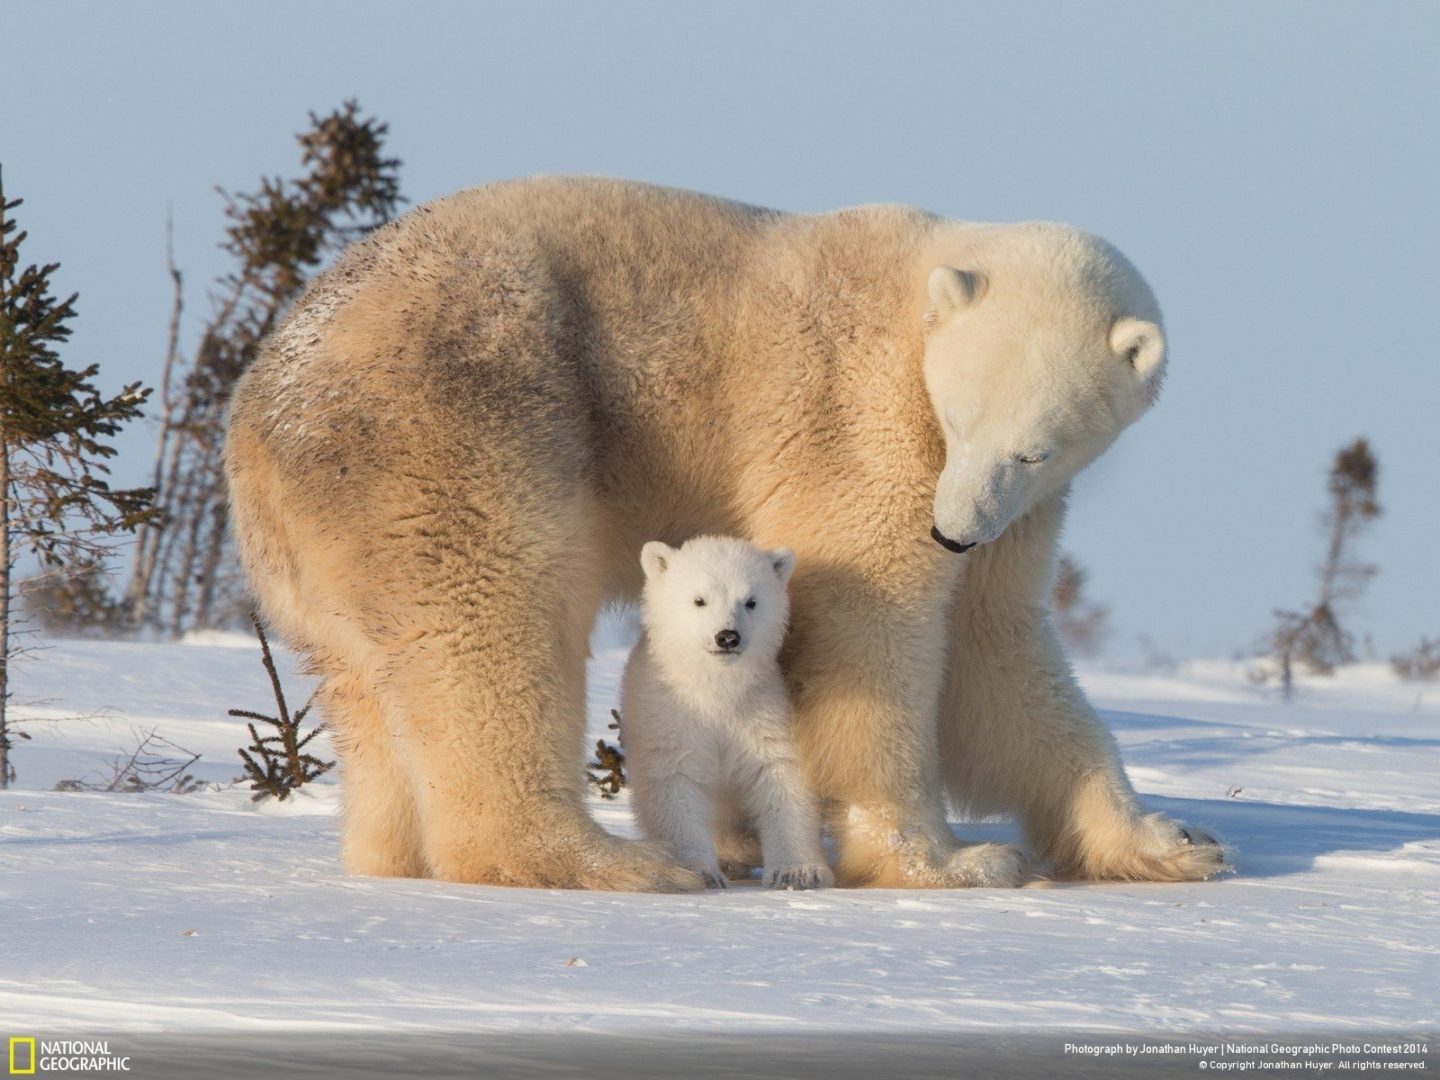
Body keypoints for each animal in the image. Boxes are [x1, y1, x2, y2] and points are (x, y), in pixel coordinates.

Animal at [230, 177, 1221, 892]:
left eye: (1033, 446)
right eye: (955, 417)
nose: (949, 532)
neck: (921, 292)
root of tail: (262, 411)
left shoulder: (1018, 513)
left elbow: (995, 651)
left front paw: (1172, 842)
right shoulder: (858, 422)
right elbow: (872, 629)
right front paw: (952, 861)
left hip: (315, 542)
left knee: (366, 681)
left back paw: (390, 855)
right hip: (457, 421)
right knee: (492, 621)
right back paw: (618, 863)